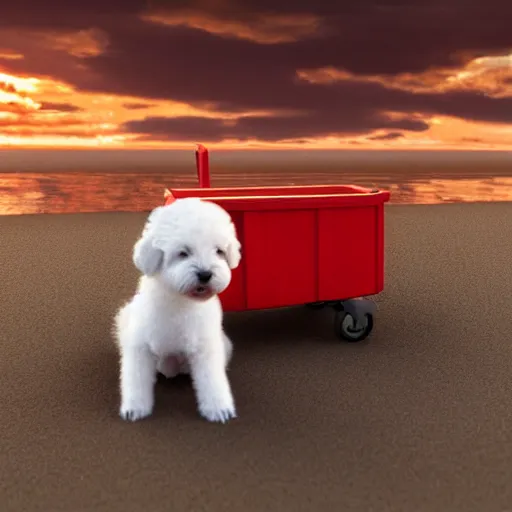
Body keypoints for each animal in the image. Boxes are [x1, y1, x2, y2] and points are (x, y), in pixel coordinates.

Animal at [115, 198, 243, 422]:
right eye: (183, 253)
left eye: (219, 251)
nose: (205, 274)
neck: (180, 301)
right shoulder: (139, 347)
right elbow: (135, 380)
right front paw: (135, 408)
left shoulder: (206, 347)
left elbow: (212, 380)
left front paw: (218, 407)